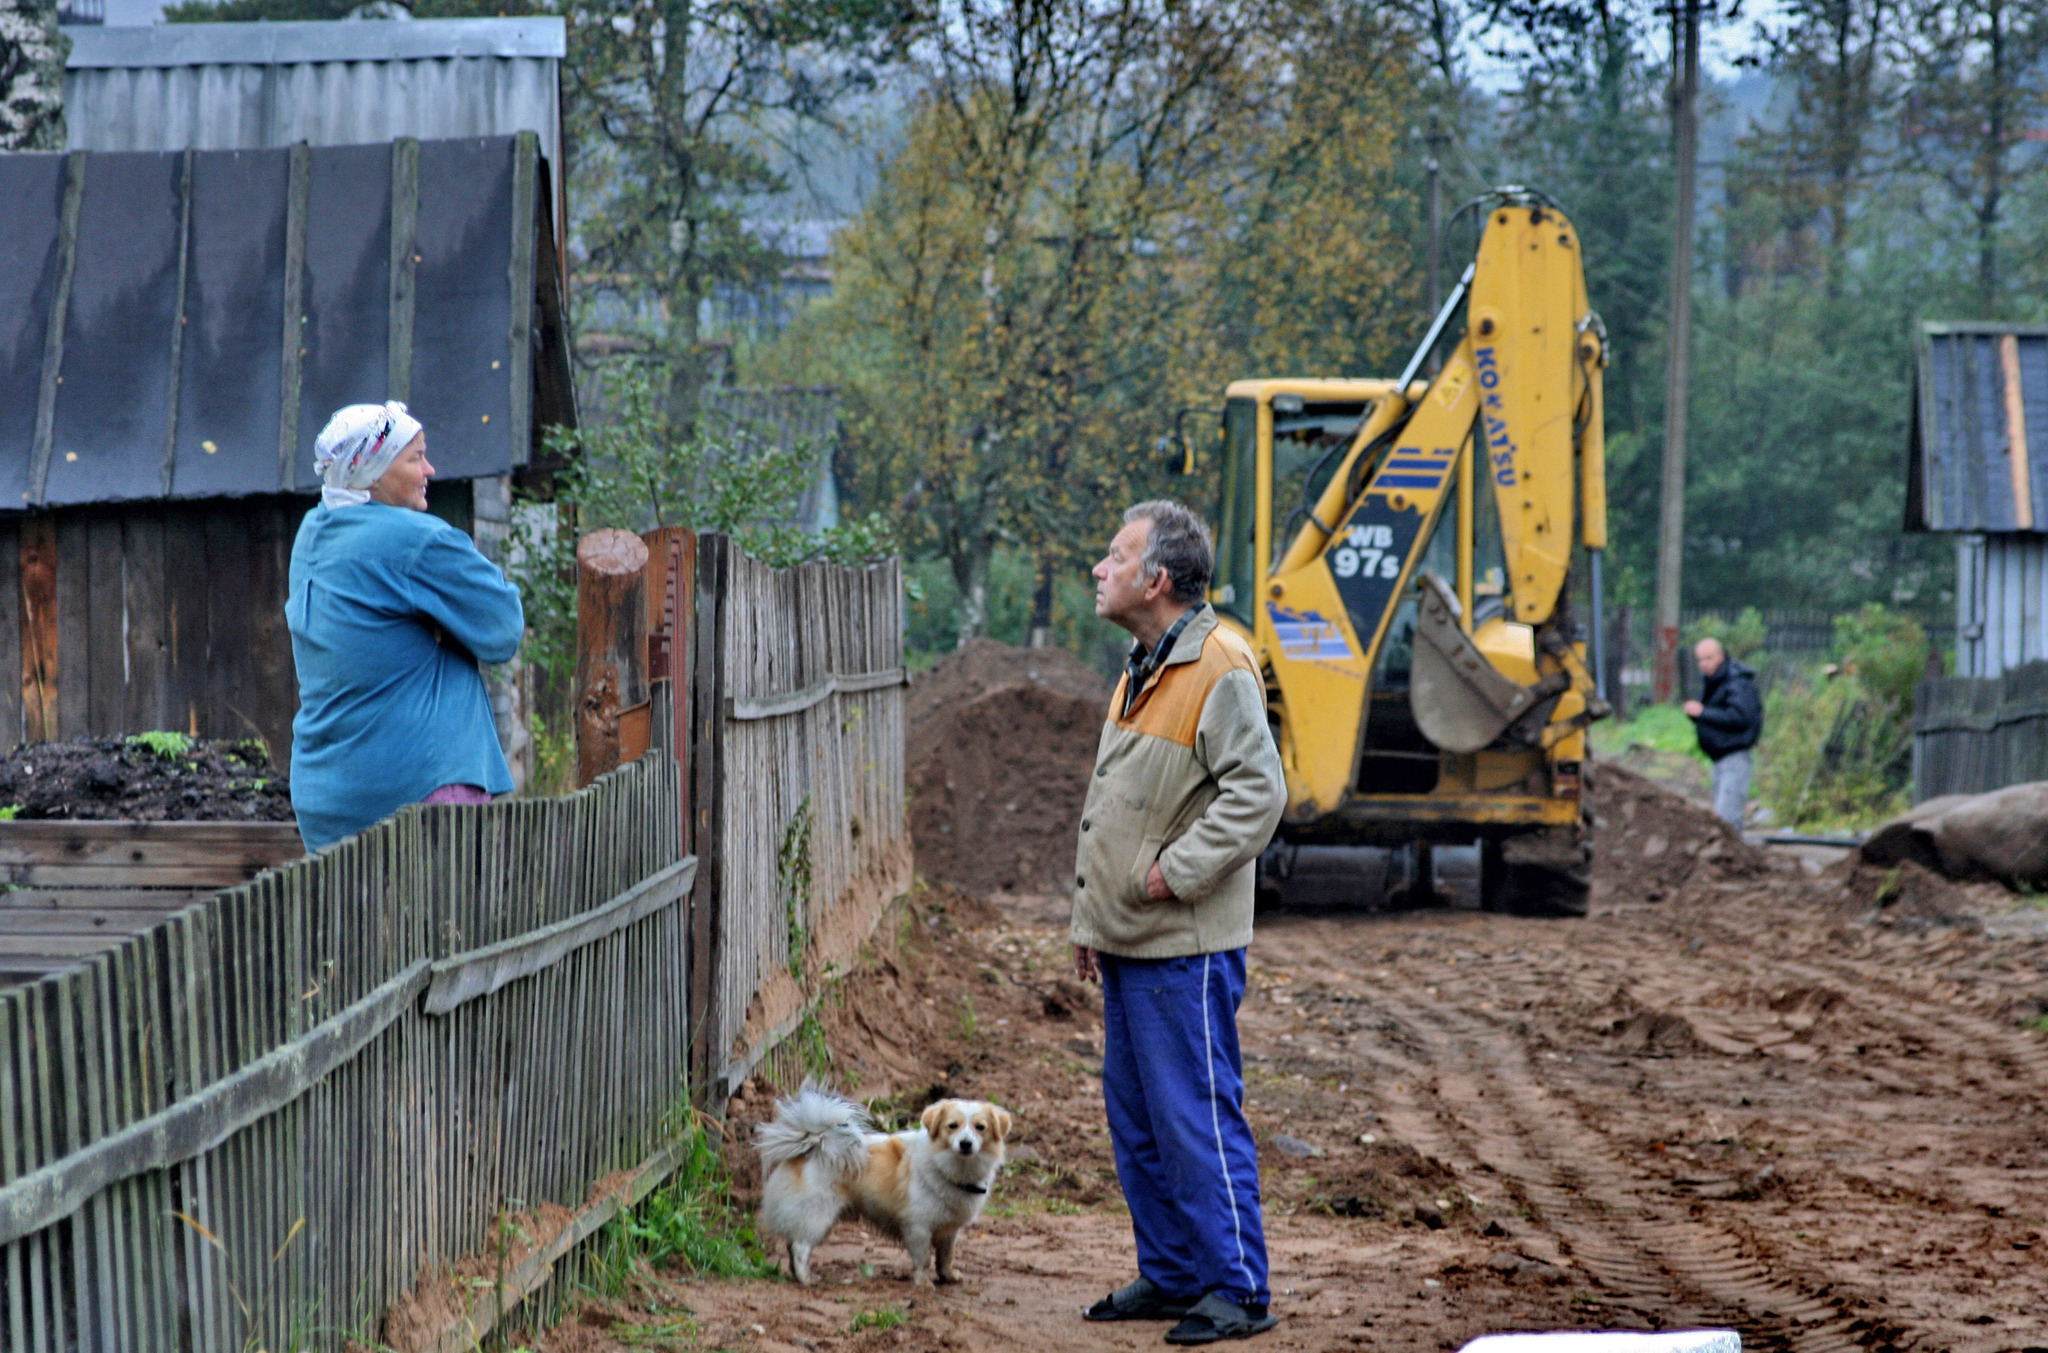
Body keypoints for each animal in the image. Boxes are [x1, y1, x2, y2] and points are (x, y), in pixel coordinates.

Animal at [753, 1080, 1007, 1285]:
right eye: (952, 1126)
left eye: (980, 1127)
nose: (965, 1143)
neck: (948, 1167)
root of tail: (814, 1144)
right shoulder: (918, 1227)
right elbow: (924, 1259)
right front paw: (924, 1284)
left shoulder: (949, 1231)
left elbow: (946, 1257)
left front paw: (948, 1276)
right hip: (817, 1215)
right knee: (800, 1247)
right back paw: (807, 1279)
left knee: (792, 1244)